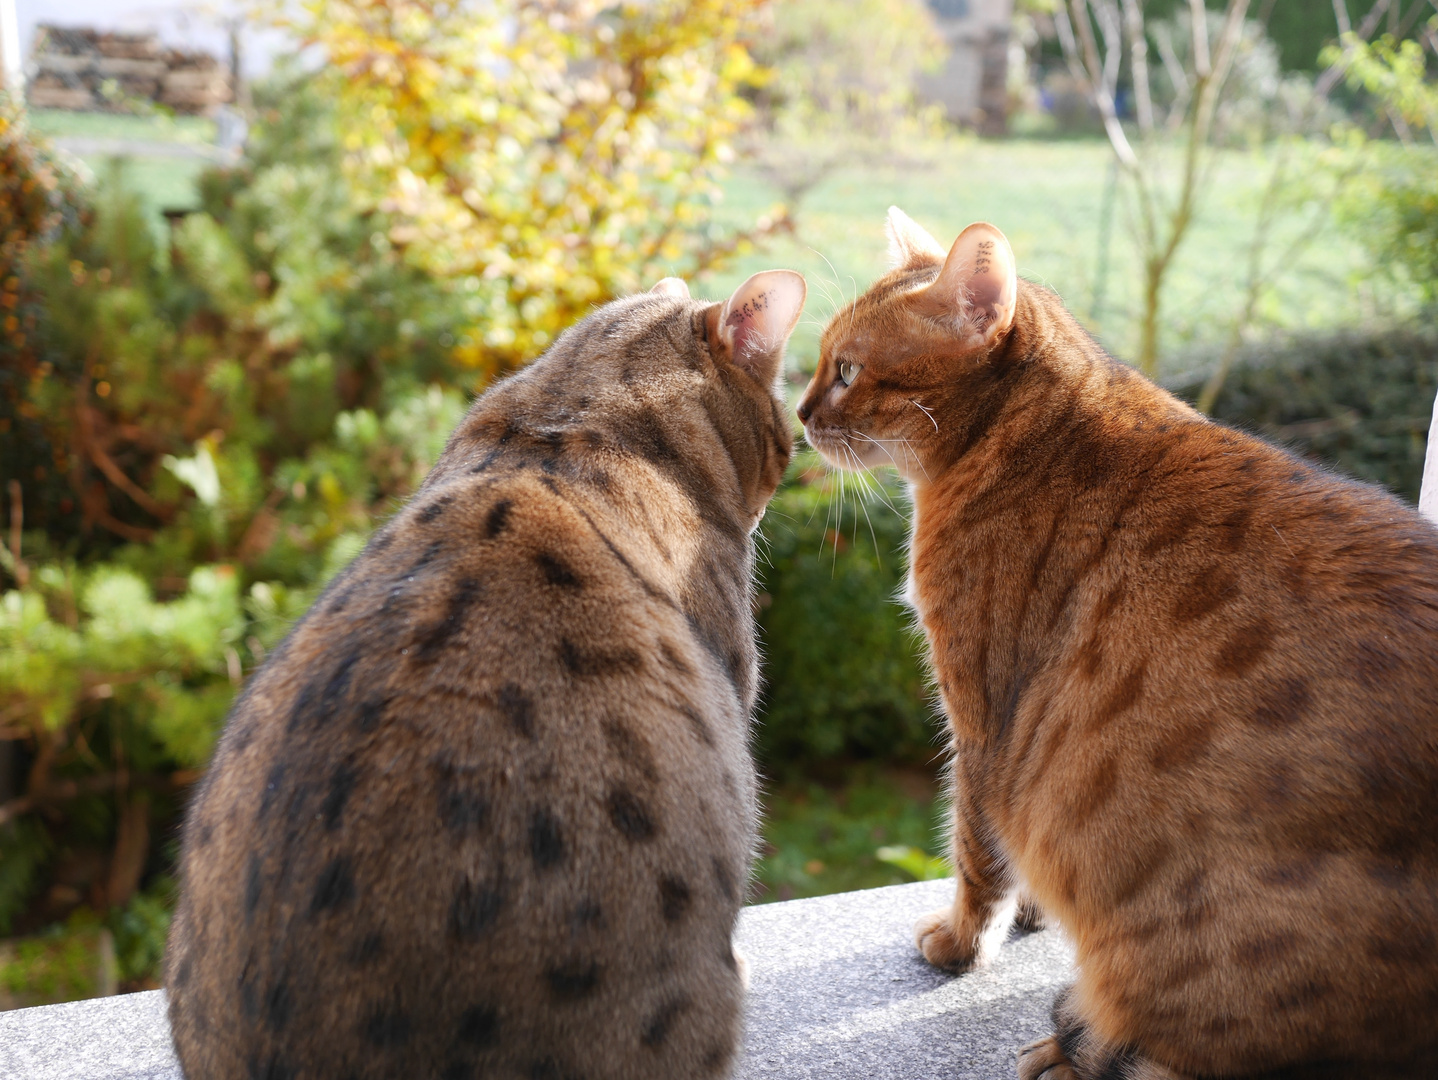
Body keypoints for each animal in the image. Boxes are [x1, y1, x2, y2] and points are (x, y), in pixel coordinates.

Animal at [799, 207, 1438, 1075]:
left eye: (847, 370)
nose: (800, 414)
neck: (1026, 438)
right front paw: (1032, 914)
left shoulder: (984, 728)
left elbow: (975, 854)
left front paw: (961, 943)